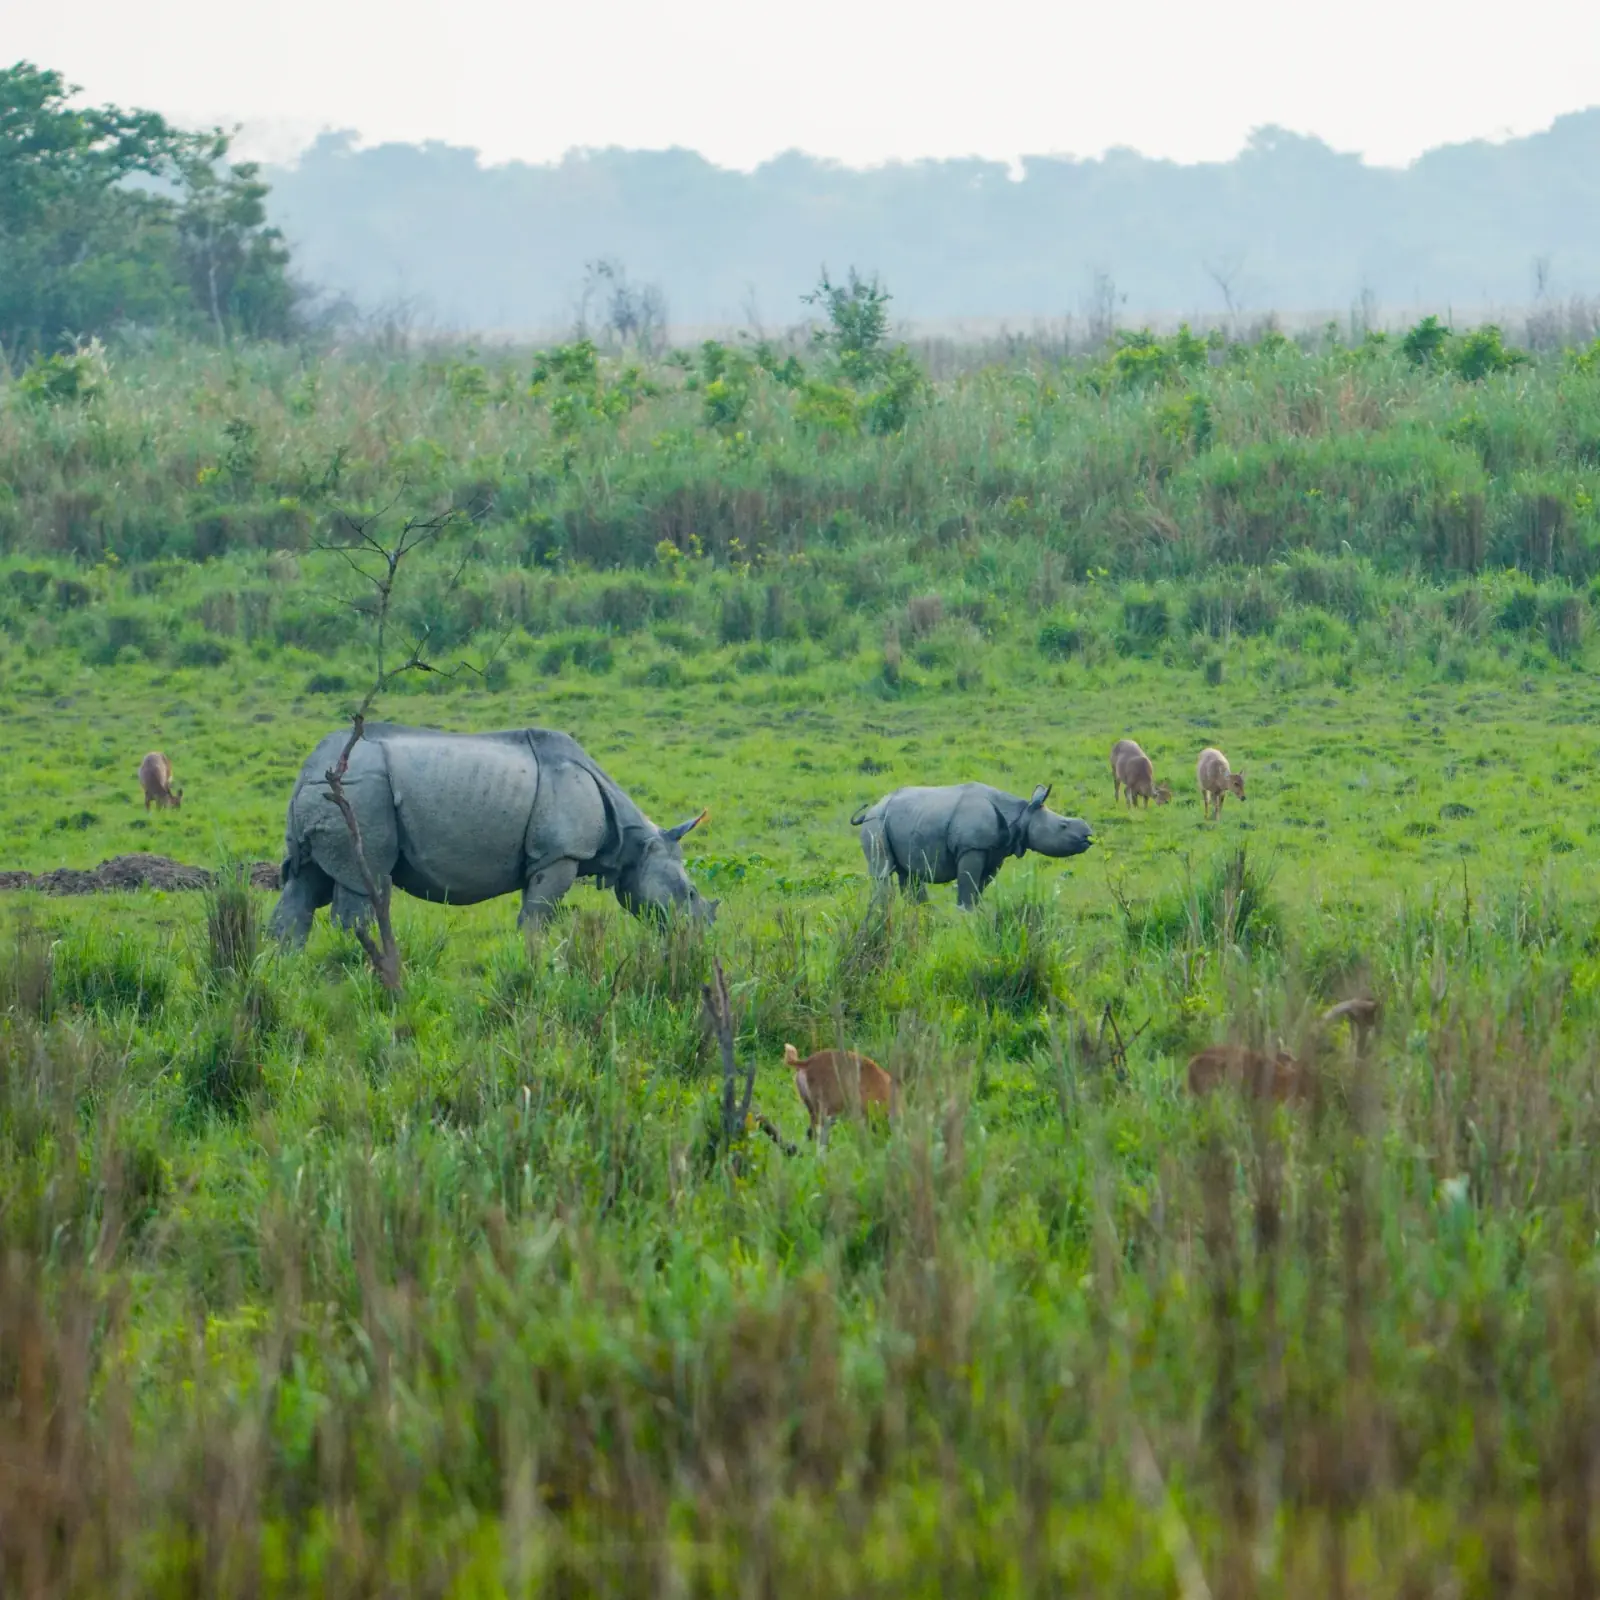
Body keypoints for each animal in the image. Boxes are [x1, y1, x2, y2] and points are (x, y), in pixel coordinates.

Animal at [268, 722, 715, 943]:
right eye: (691, 893)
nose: (698, 935)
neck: (636, 843)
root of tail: (310, 768)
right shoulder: (559, 854)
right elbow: (537, 915)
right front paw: (534, 958)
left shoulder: (549, 856)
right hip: (359, 791)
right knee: (363, 884)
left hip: (330, 792)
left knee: (305, 883)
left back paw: (288, 970)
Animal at [851, 781, 1093, 908]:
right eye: (1063, 826)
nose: (1088, 834)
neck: (1023, 814)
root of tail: (870, 809)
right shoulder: (972, 848)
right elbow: (968, 885)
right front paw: (965, 915)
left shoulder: (995, 853)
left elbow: (979, 887)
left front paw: (976, 912)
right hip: (876, 823)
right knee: (883, 871)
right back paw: (884, 913)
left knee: (909, 874)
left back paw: (919, 913)